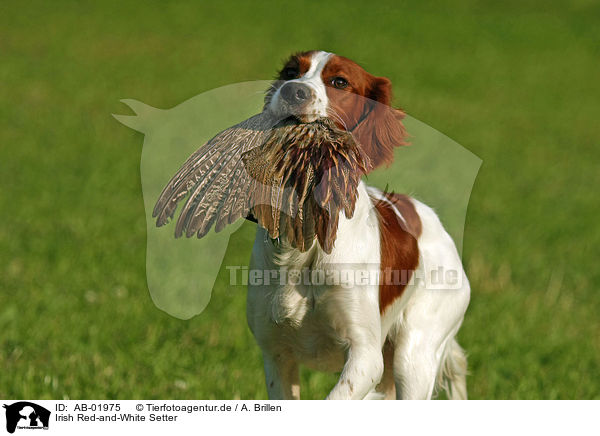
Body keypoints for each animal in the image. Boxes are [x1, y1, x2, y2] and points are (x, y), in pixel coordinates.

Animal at [246, 50, 472, 398]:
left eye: (340, 82)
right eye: (290, 72)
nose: (293, 91)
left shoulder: (365, 356)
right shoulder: (276, 355)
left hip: (414, 357)